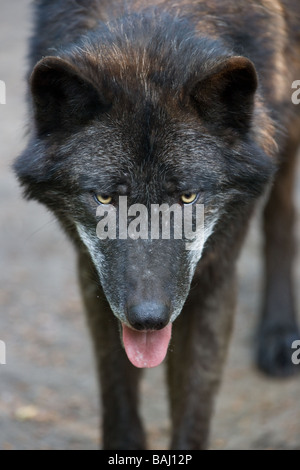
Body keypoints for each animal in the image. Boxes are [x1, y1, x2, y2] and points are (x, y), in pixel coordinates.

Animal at [14, 0, 300, 448]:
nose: (149, 318)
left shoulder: (215, 276)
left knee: (283, 213)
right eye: (105, 198)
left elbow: (193, 414)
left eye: (187, 197)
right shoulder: (97, 280)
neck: (151, 16)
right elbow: (119, 403)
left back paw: (279, 331)